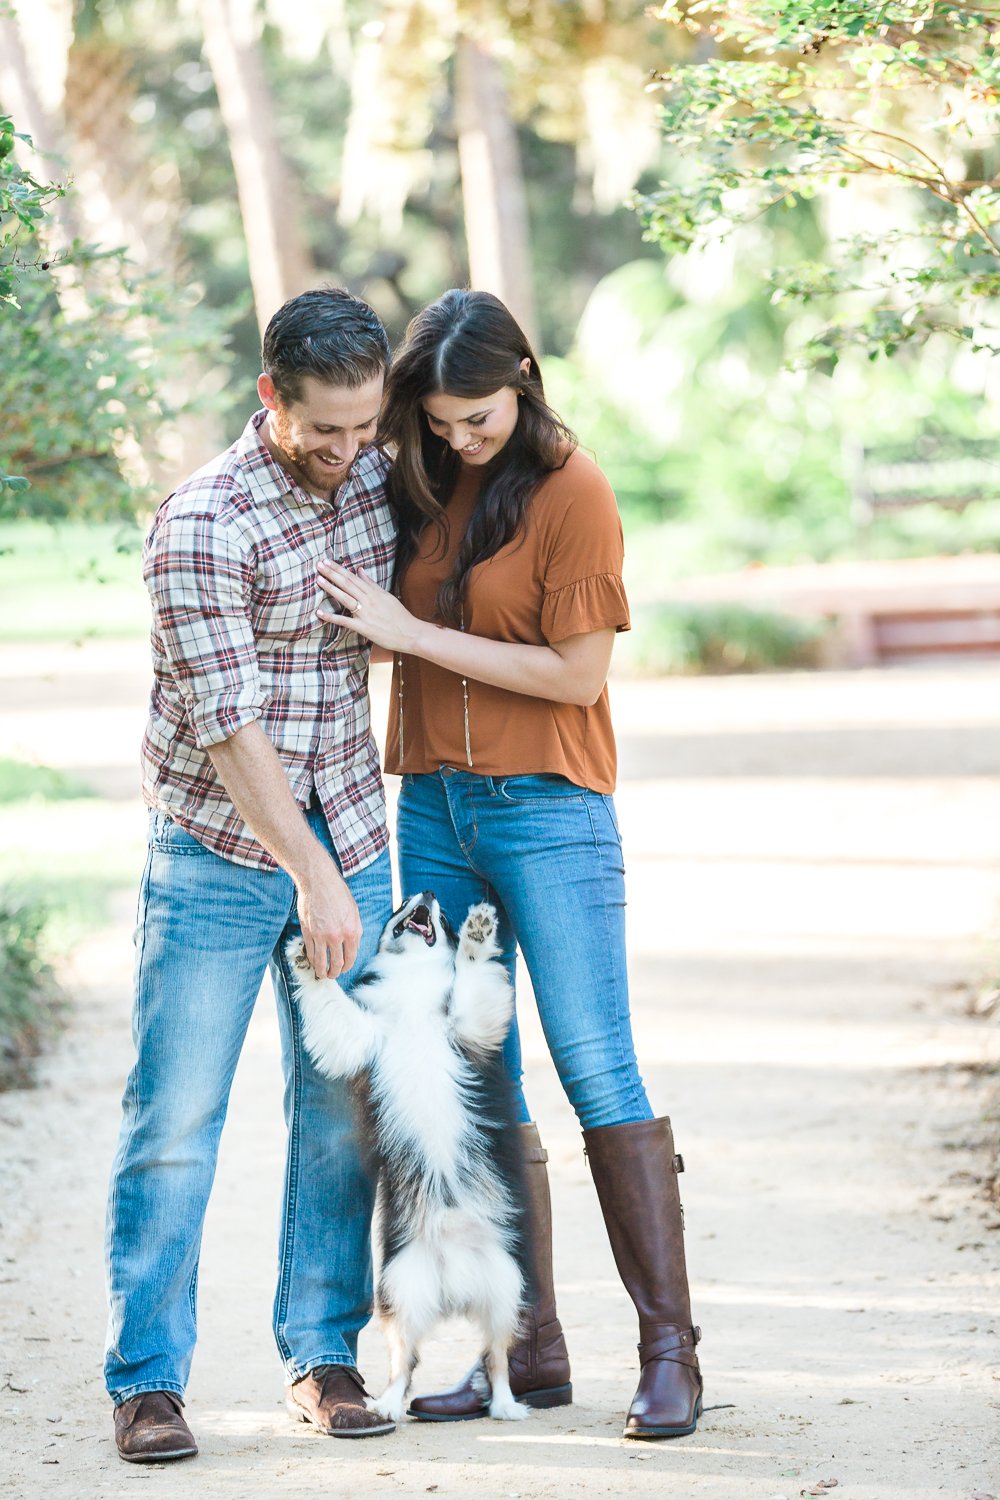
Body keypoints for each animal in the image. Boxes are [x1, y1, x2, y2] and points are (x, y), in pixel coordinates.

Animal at [284, 894, 527, 1422]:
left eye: (445, 917)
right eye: (402, 903)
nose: (427, 895)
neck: (414, 981)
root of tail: (454, 1281)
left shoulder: (468, 1025)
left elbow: (473, 974)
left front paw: (479, 933)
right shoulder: (360, 1034)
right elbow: (330, 1001)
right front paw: (305, 959)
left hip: (506, 1286)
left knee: (496, 1357)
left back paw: (505, 1405)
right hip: (401, 1289)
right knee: (406, 1361)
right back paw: (387, 1406)